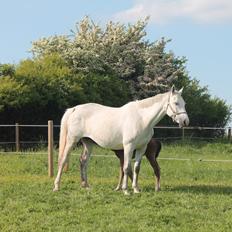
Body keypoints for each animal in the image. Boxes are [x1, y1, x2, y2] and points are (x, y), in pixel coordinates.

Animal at [53, 85, 188, 194]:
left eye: (184, 103)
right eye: (176, 103)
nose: (185, 121)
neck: (142, 119)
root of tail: (74, 109)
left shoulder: (141, 148)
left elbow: (136, 168)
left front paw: (136, 189)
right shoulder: (128, 147)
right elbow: (127, 168)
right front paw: (125, 190)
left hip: (88, 143)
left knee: (83, 161)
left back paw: (86, 186)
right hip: (72, 140)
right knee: (63, 159)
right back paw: (56, 186)